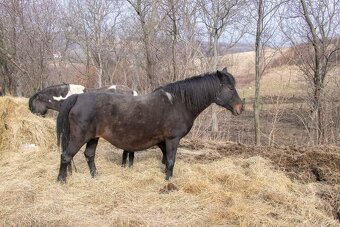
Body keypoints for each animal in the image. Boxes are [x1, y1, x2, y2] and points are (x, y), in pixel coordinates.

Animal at [55, 68, 243, 183]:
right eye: (229, 88)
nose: (240, 108)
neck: (178, 103)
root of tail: (78, 97)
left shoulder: (162, 141)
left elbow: (165, 159)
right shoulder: (172, 139)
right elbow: (170, 160)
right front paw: (168, 181)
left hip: (93, 137)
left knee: (89, 155)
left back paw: (95, 176)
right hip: (79, 137)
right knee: (66, 156)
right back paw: (61, 181)